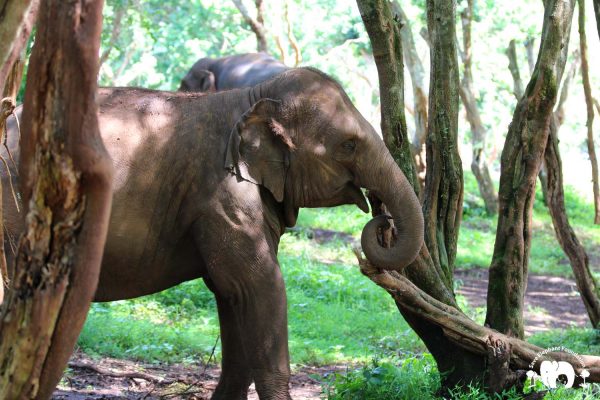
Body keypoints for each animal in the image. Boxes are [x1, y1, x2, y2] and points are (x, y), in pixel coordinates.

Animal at [1, 67, 422, 398]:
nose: (381, 218)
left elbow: (233, 297)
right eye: (348, 145)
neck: (251, 98)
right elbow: (259, 285)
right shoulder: (222, 194)